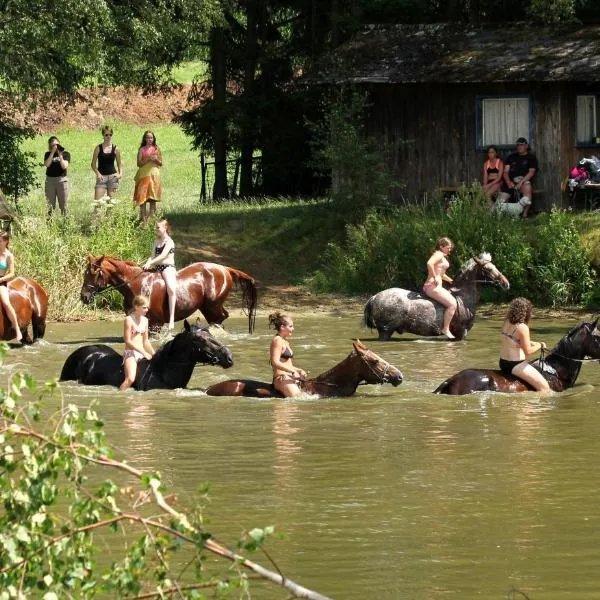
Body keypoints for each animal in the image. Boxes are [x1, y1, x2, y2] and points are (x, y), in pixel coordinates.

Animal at [79, 254, 258, 332]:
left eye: (93, 273)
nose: (84, 297)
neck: (136, 285)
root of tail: (225, 269)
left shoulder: (155, 323)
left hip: (213, 305)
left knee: (219, 320)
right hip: (207, 307)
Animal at [364, 251, 508, 340]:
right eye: (488, 269)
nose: (506, 283)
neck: (463, 298)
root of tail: (374, 297)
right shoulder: (461, 332)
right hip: (385, 331)